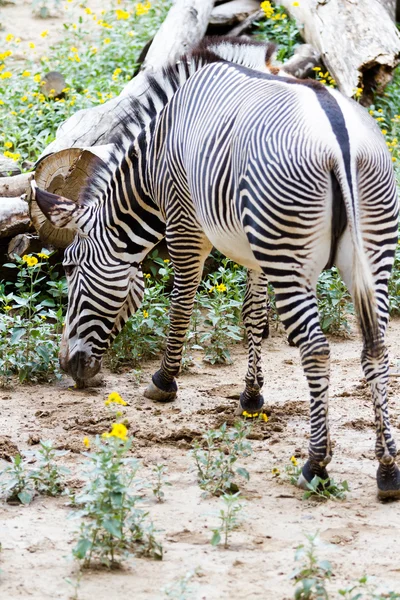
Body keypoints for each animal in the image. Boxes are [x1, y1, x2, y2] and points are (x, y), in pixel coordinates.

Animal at [31, 36, 400, 496]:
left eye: (69, 267)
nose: (68, 367)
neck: (155, 156)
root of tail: (339, 139)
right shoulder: (255, 247)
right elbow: (253, 315)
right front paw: (252, 397)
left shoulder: (185, 225)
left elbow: (182, 304)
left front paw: (164, 381)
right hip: (371, 252)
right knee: (377, 347)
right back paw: (387, 468)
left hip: (291, 258)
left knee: (316, 349)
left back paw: (316, 464)